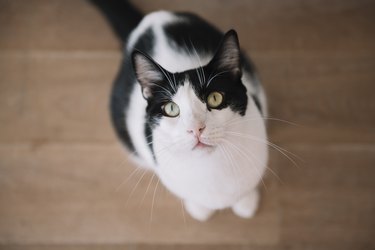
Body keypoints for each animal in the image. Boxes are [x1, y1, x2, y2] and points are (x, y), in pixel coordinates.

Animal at [90, 0, 268, 221]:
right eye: (171, 108)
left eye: (215, 98)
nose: (196, 129)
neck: (211, 168)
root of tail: (152, 18)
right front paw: (200, 209)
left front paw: (245, 202)